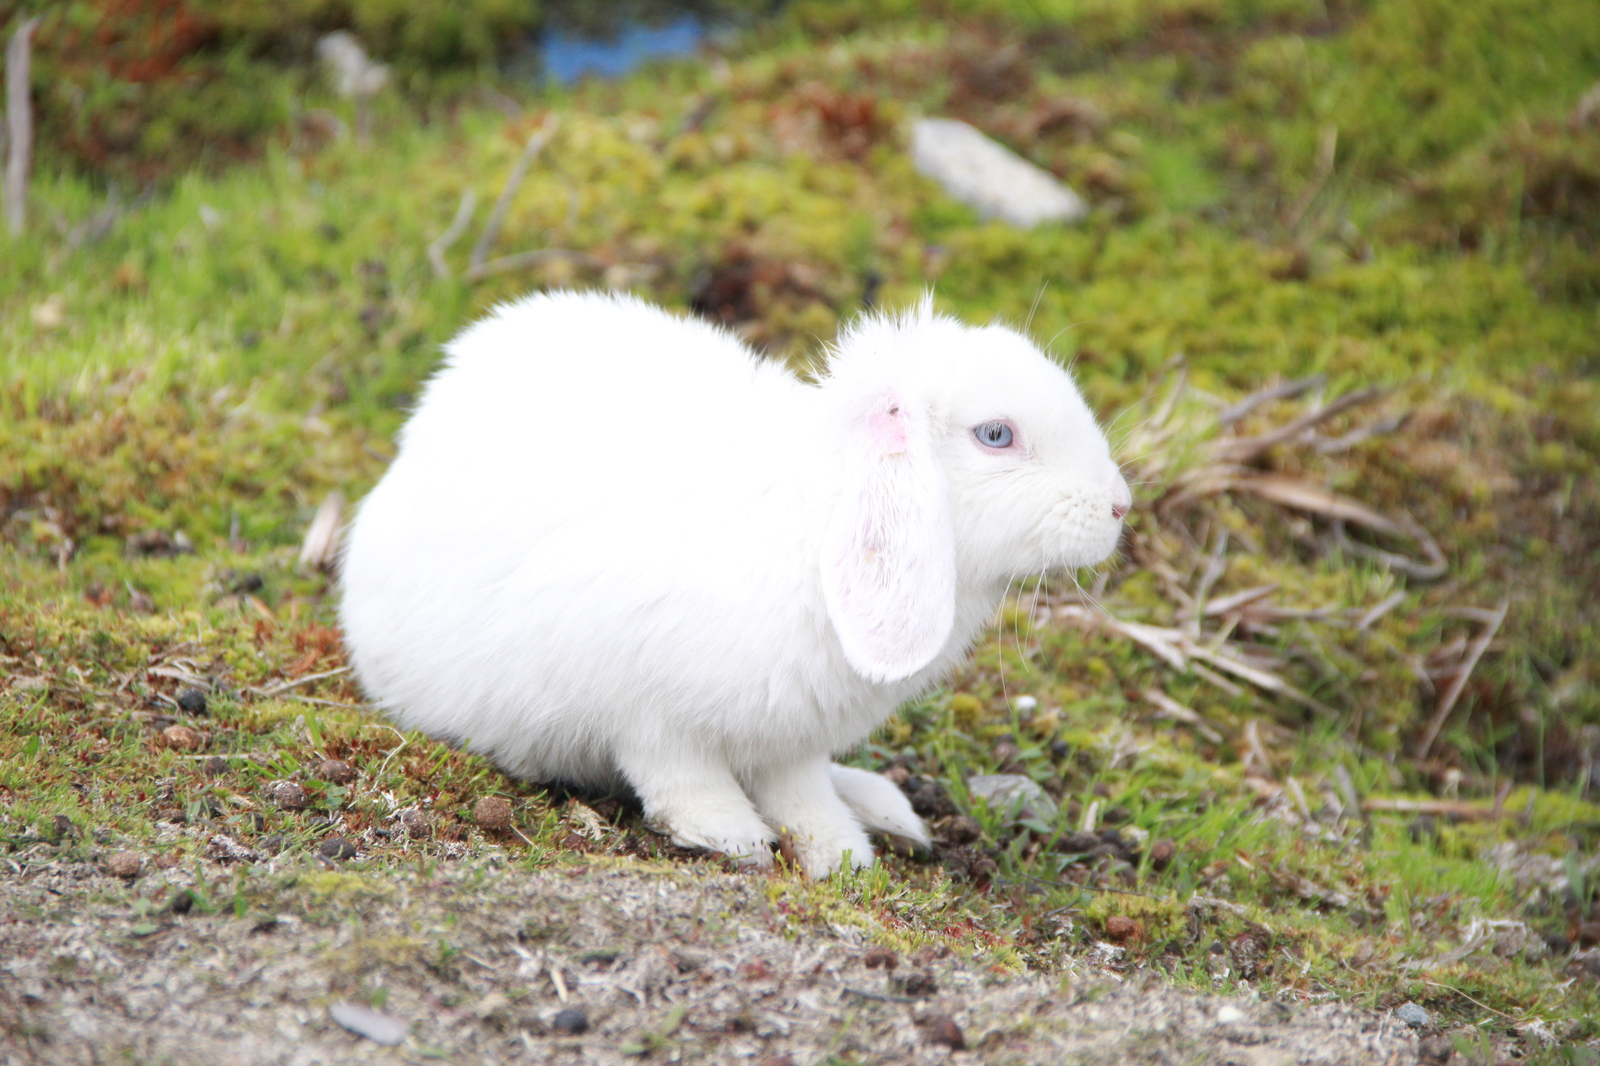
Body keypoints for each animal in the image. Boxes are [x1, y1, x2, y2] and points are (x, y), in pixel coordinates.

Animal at [344, 288, 1132, 870]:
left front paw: (839, 854)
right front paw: (732, 836)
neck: (821, 518)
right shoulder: (643, 706)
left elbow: (802, 790)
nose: (1119, 506)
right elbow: (680, 774)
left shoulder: (793, 738)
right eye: (996, 435)